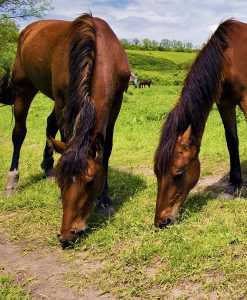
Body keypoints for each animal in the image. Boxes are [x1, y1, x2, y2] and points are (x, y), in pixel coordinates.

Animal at [0, 14, 130, 247]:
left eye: (91, 182)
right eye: (63, 183)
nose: (67, 234)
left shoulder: (116, 102)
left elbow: (106, 149)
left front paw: (105, 198)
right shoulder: (64, 101)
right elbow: (66, 137)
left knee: (49, 125)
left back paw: (47, 166)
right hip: (24, 86)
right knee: (19, 133)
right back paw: (12, 182)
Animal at [154, 19, 247, 229]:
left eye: (179, 173)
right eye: (156, 172)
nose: (161, 221)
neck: (230, 56)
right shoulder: (224, 103)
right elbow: (232, 141)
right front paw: (234, 185)